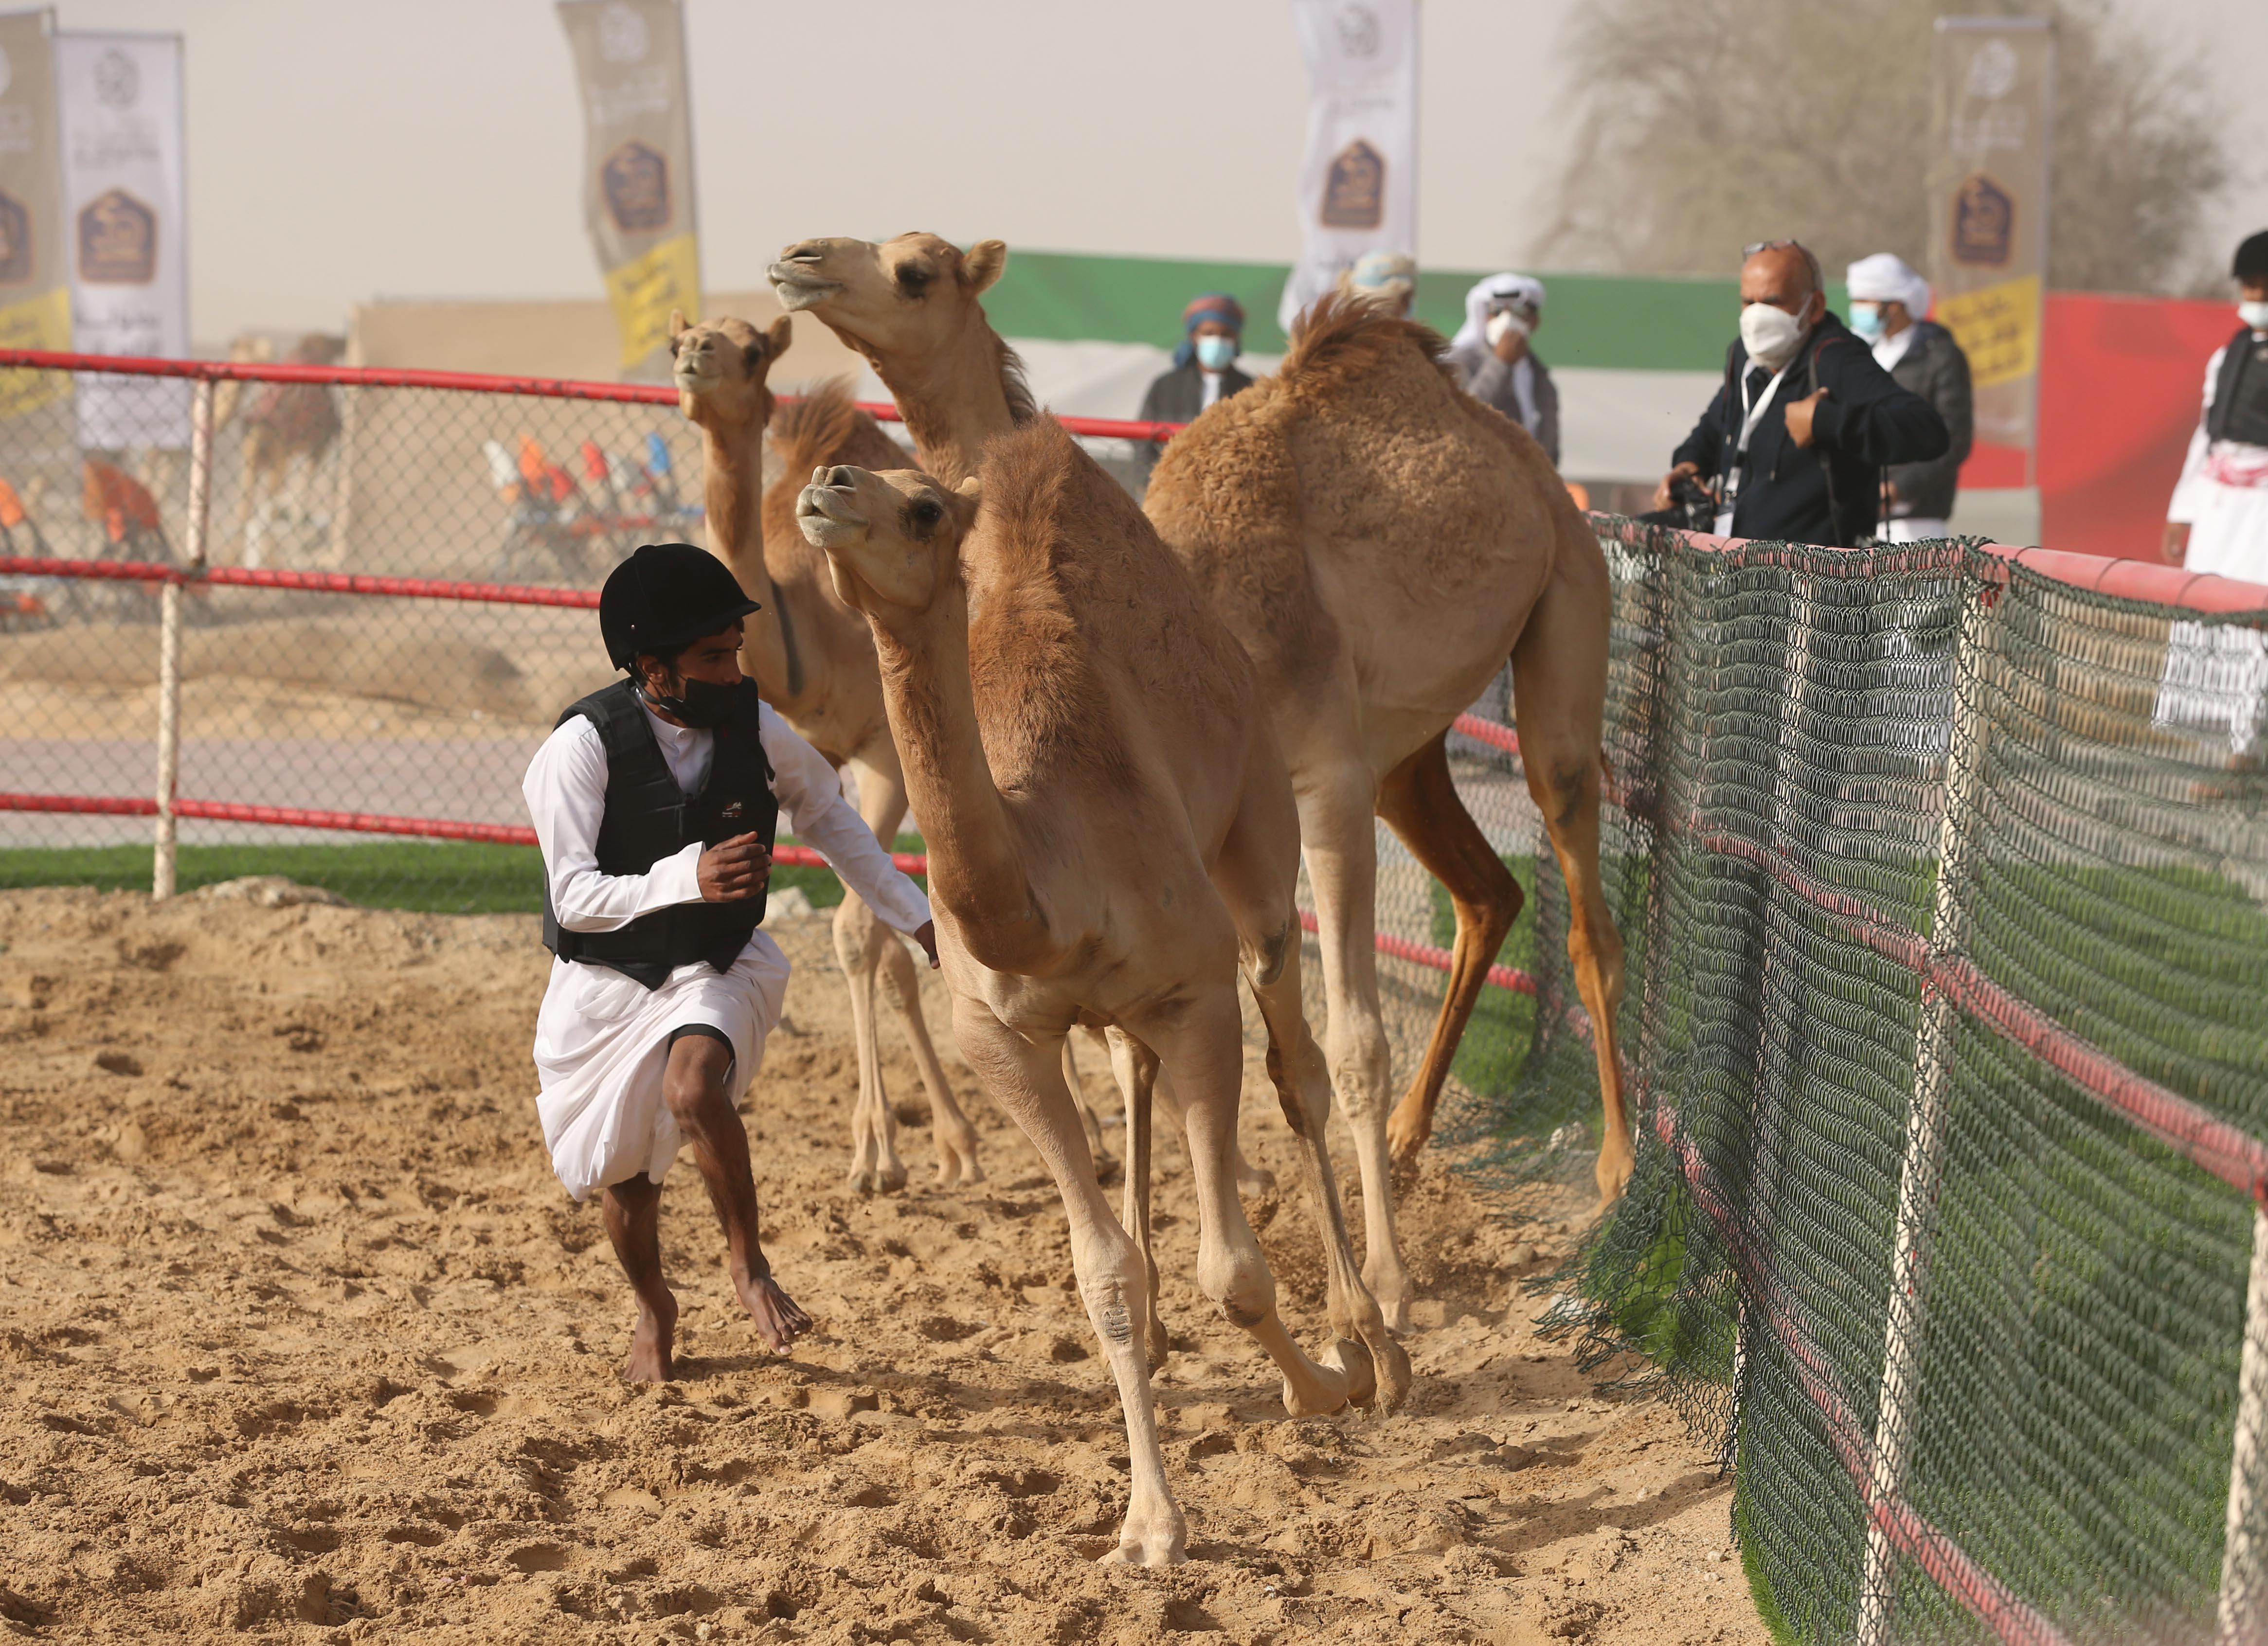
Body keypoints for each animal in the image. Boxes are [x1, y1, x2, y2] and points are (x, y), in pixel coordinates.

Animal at [662, 308, 979, 1197]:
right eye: (679, 340)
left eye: (753, 351)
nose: (697, 358)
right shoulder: (808, 754)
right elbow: (877, 936)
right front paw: (920, 1143)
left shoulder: (883, 756)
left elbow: (858, 931)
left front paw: (877, 1150)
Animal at [793, 428, 1397, 1569]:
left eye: (925, 507)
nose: (826, 487)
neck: (1046, 889)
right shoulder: (1000, 1036)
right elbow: (1100, 1273)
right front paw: (1148, 1525)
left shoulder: (1196, 991)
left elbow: (1235, 1270)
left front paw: (1325, 1385)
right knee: (1131, 1069)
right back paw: (1175, 1340)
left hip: (1258, 816)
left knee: (1296, 1054)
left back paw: (1375, 1334)